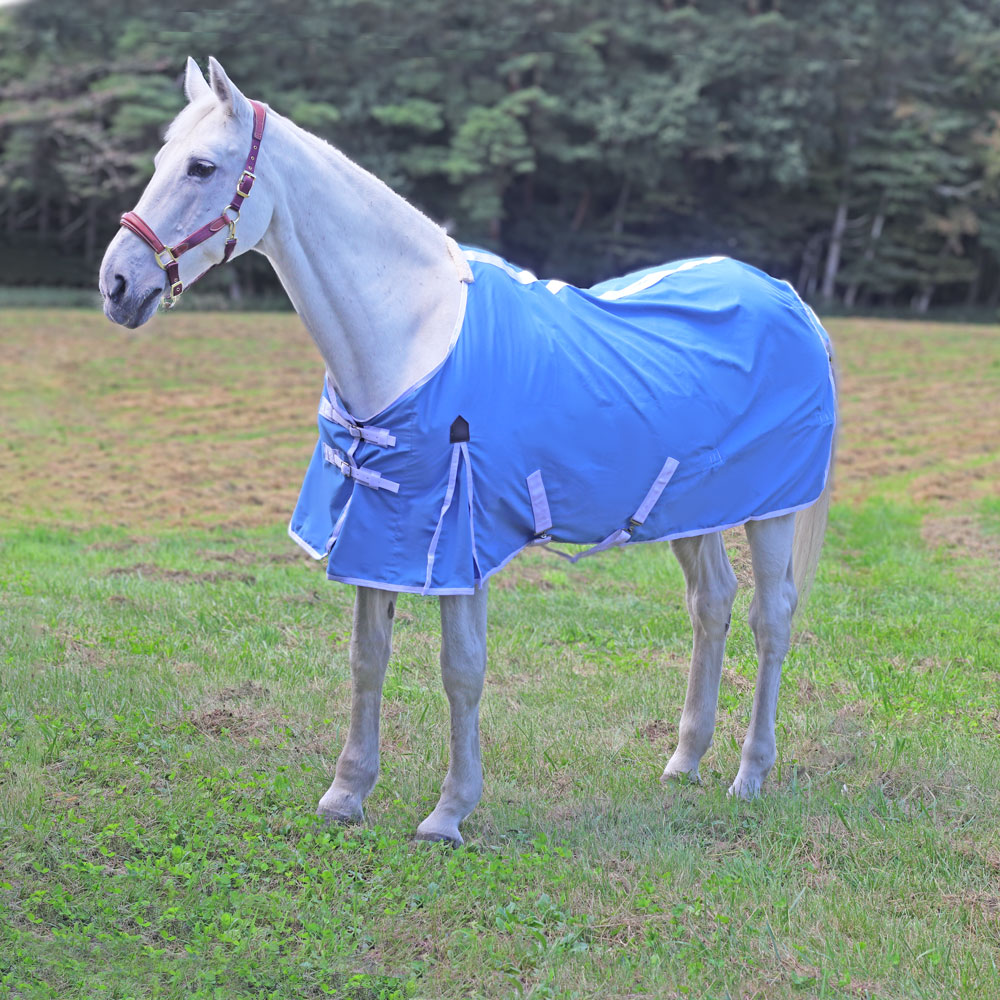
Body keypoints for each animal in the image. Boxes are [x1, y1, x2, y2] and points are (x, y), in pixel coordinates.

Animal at [99, 57, 836, 846]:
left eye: (203, 167)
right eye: (160, 160)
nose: (117, 284)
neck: (408, 339)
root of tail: (788, 297)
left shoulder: (459, 540)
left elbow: (462, 669)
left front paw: (450, 811)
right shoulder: (377, 531)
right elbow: (368, 659)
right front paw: (346, 793)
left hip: (771, 510)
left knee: (771, 617)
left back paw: (750, 774)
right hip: (689, 509)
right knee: (712, 605)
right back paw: (684, 761)